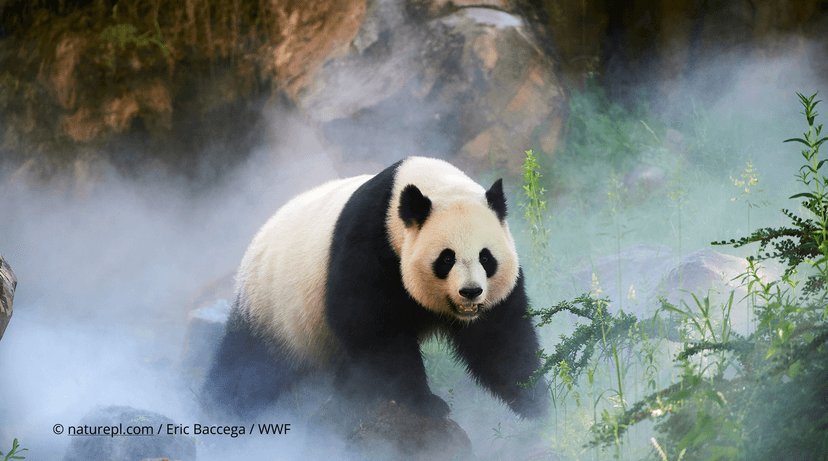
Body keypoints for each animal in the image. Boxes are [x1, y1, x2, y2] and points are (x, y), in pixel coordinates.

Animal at [202, 156, 548, 421]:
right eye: (446, 258)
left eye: (485, 257)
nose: (471, 292)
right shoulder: (369, 248)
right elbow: (376, 333)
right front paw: (426, 403)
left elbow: (499, 339)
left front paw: (535, 402)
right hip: (272, 310)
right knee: (248, 366)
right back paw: (219, 409)